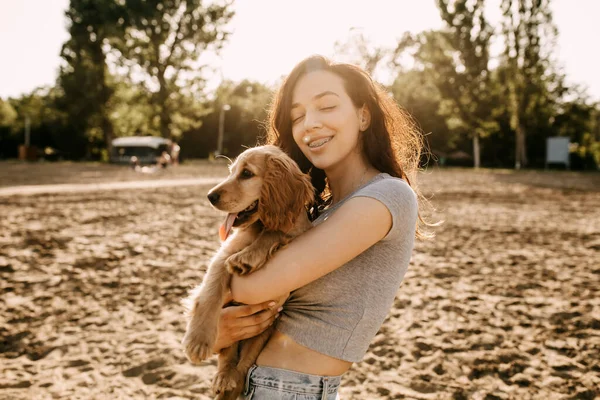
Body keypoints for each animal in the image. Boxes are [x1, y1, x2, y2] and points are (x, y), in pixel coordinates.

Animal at [182, 145, 314, 400]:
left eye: (246, 174)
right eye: (231, 171)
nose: (210, 196)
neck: (261, 224)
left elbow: (274, 234)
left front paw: (246, 258)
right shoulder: (221, 257)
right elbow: (210, 294)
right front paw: (198, 340)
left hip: (263, 333)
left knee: (244, 365)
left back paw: (231, 382)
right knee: (228, 355)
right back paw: (223, 378)